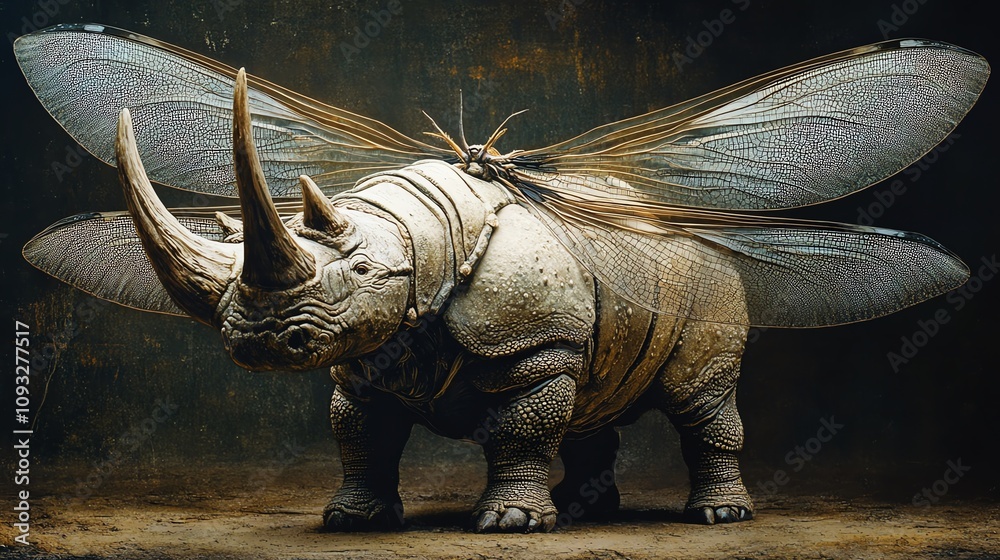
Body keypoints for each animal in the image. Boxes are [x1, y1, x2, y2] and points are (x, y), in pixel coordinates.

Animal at [15, 25, 989, 533]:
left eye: (359, 266)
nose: (254, 343)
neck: (425, 234)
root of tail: (673, 218)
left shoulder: (530, 340)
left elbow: (521, 423)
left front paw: (512, 525)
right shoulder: (365, 357)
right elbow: (359, 431)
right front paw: (353, 520)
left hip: (710, 280)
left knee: (700, 399)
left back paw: (716, 518)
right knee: (598, 394)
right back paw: (588, 507)